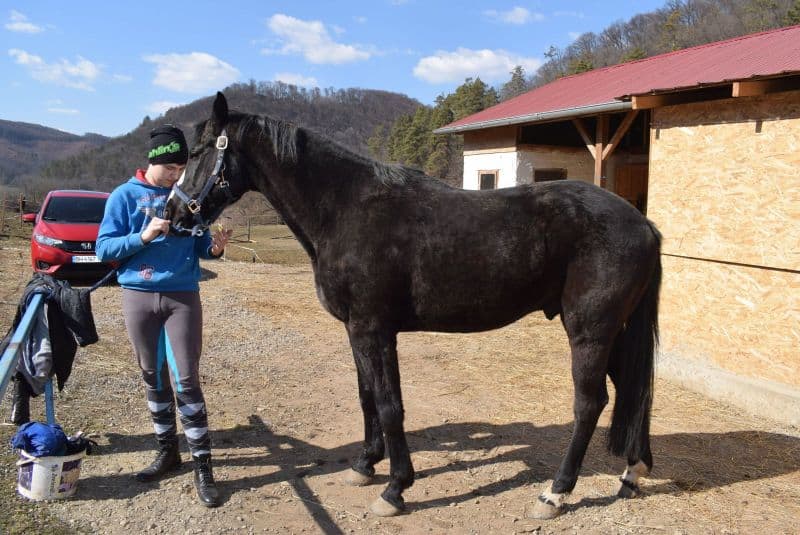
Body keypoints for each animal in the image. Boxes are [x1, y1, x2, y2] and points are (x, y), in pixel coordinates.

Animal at [166, 94, 660, 520]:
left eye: (200, 152)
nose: (173, 213)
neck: (347, 208)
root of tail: (643, 224)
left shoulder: (374, 329)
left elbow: (389, 405)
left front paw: (395, 488)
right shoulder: (356, 330)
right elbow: (367, 397)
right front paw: (365, 466)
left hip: (589, 331)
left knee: (589, 403)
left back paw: (555, 493)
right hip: (614, 332)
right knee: (632, 392)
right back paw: (632, 472)